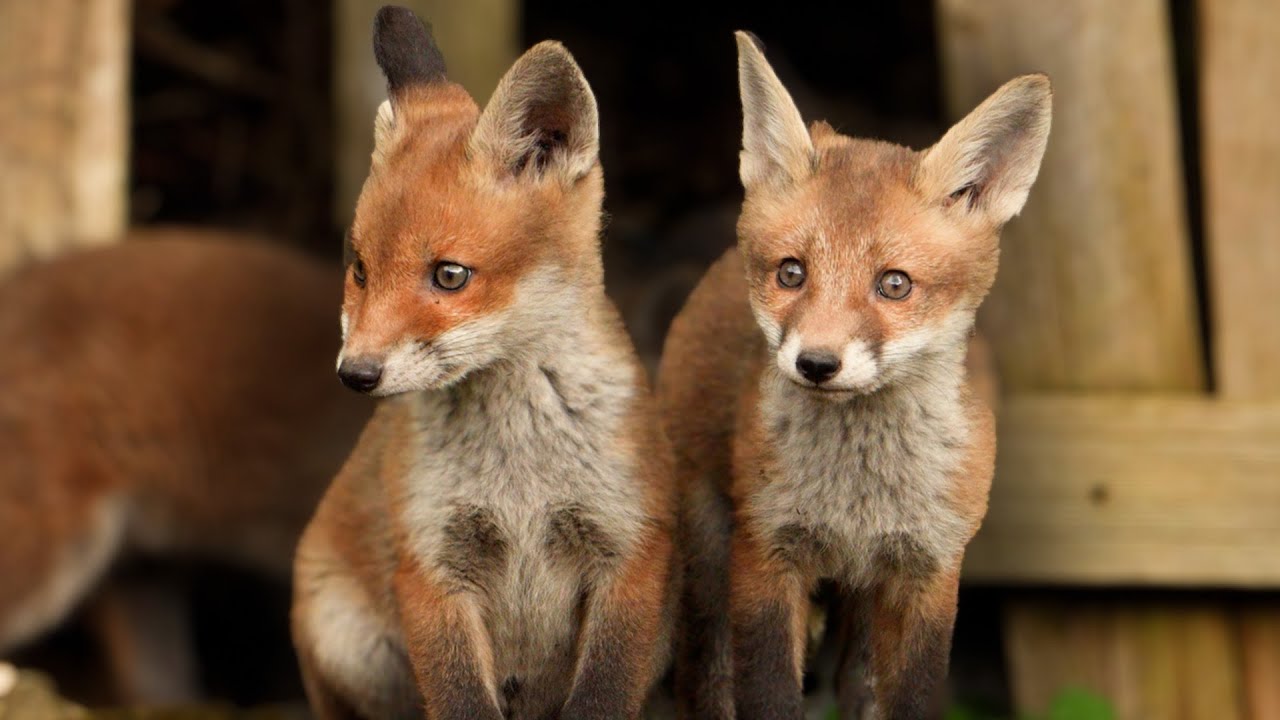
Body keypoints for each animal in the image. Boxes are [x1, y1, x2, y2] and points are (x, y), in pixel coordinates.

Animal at [290, 8, 677, 720]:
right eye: (359, 270)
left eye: (450, 275)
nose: (355, 374)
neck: (517, 478)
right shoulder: (431, 566)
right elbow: (461, 698)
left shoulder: (629, 552)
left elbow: (603, 693)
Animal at [658, 33, 1051, 720]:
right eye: (791, 273)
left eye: (894, 285)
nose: (817, 363)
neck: (855, 503)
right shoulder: (767, 557)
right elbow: (769, 697)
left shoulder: (928, 572)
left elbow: (911, 698)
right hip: (709, 554)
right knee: (706, 678)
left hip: (867, 609)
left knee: (856, 687)